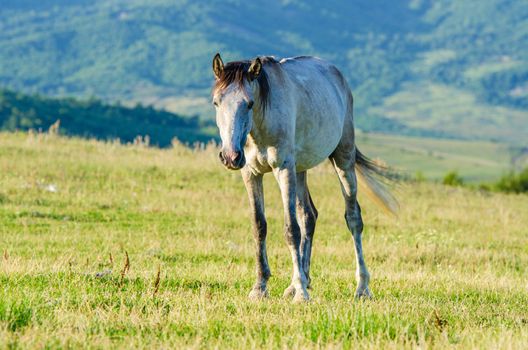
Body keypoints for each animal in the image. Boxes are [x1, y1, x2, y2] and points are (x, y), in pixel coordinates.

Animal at [210, 53, 396, 302]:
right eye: (216, 102)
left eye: (249, 103)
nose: (230, 156)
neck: (262, 123)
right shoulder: (250, 173)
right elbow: (259, 226)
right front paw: (260, 287)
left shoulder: (284, 169)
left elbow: (291, 230)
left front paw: (300, 293)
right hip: (300, 170)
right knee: (309, 216)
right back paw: (299, 282)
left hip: (343, 158)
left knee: (353, 218)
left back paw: (361, 287)